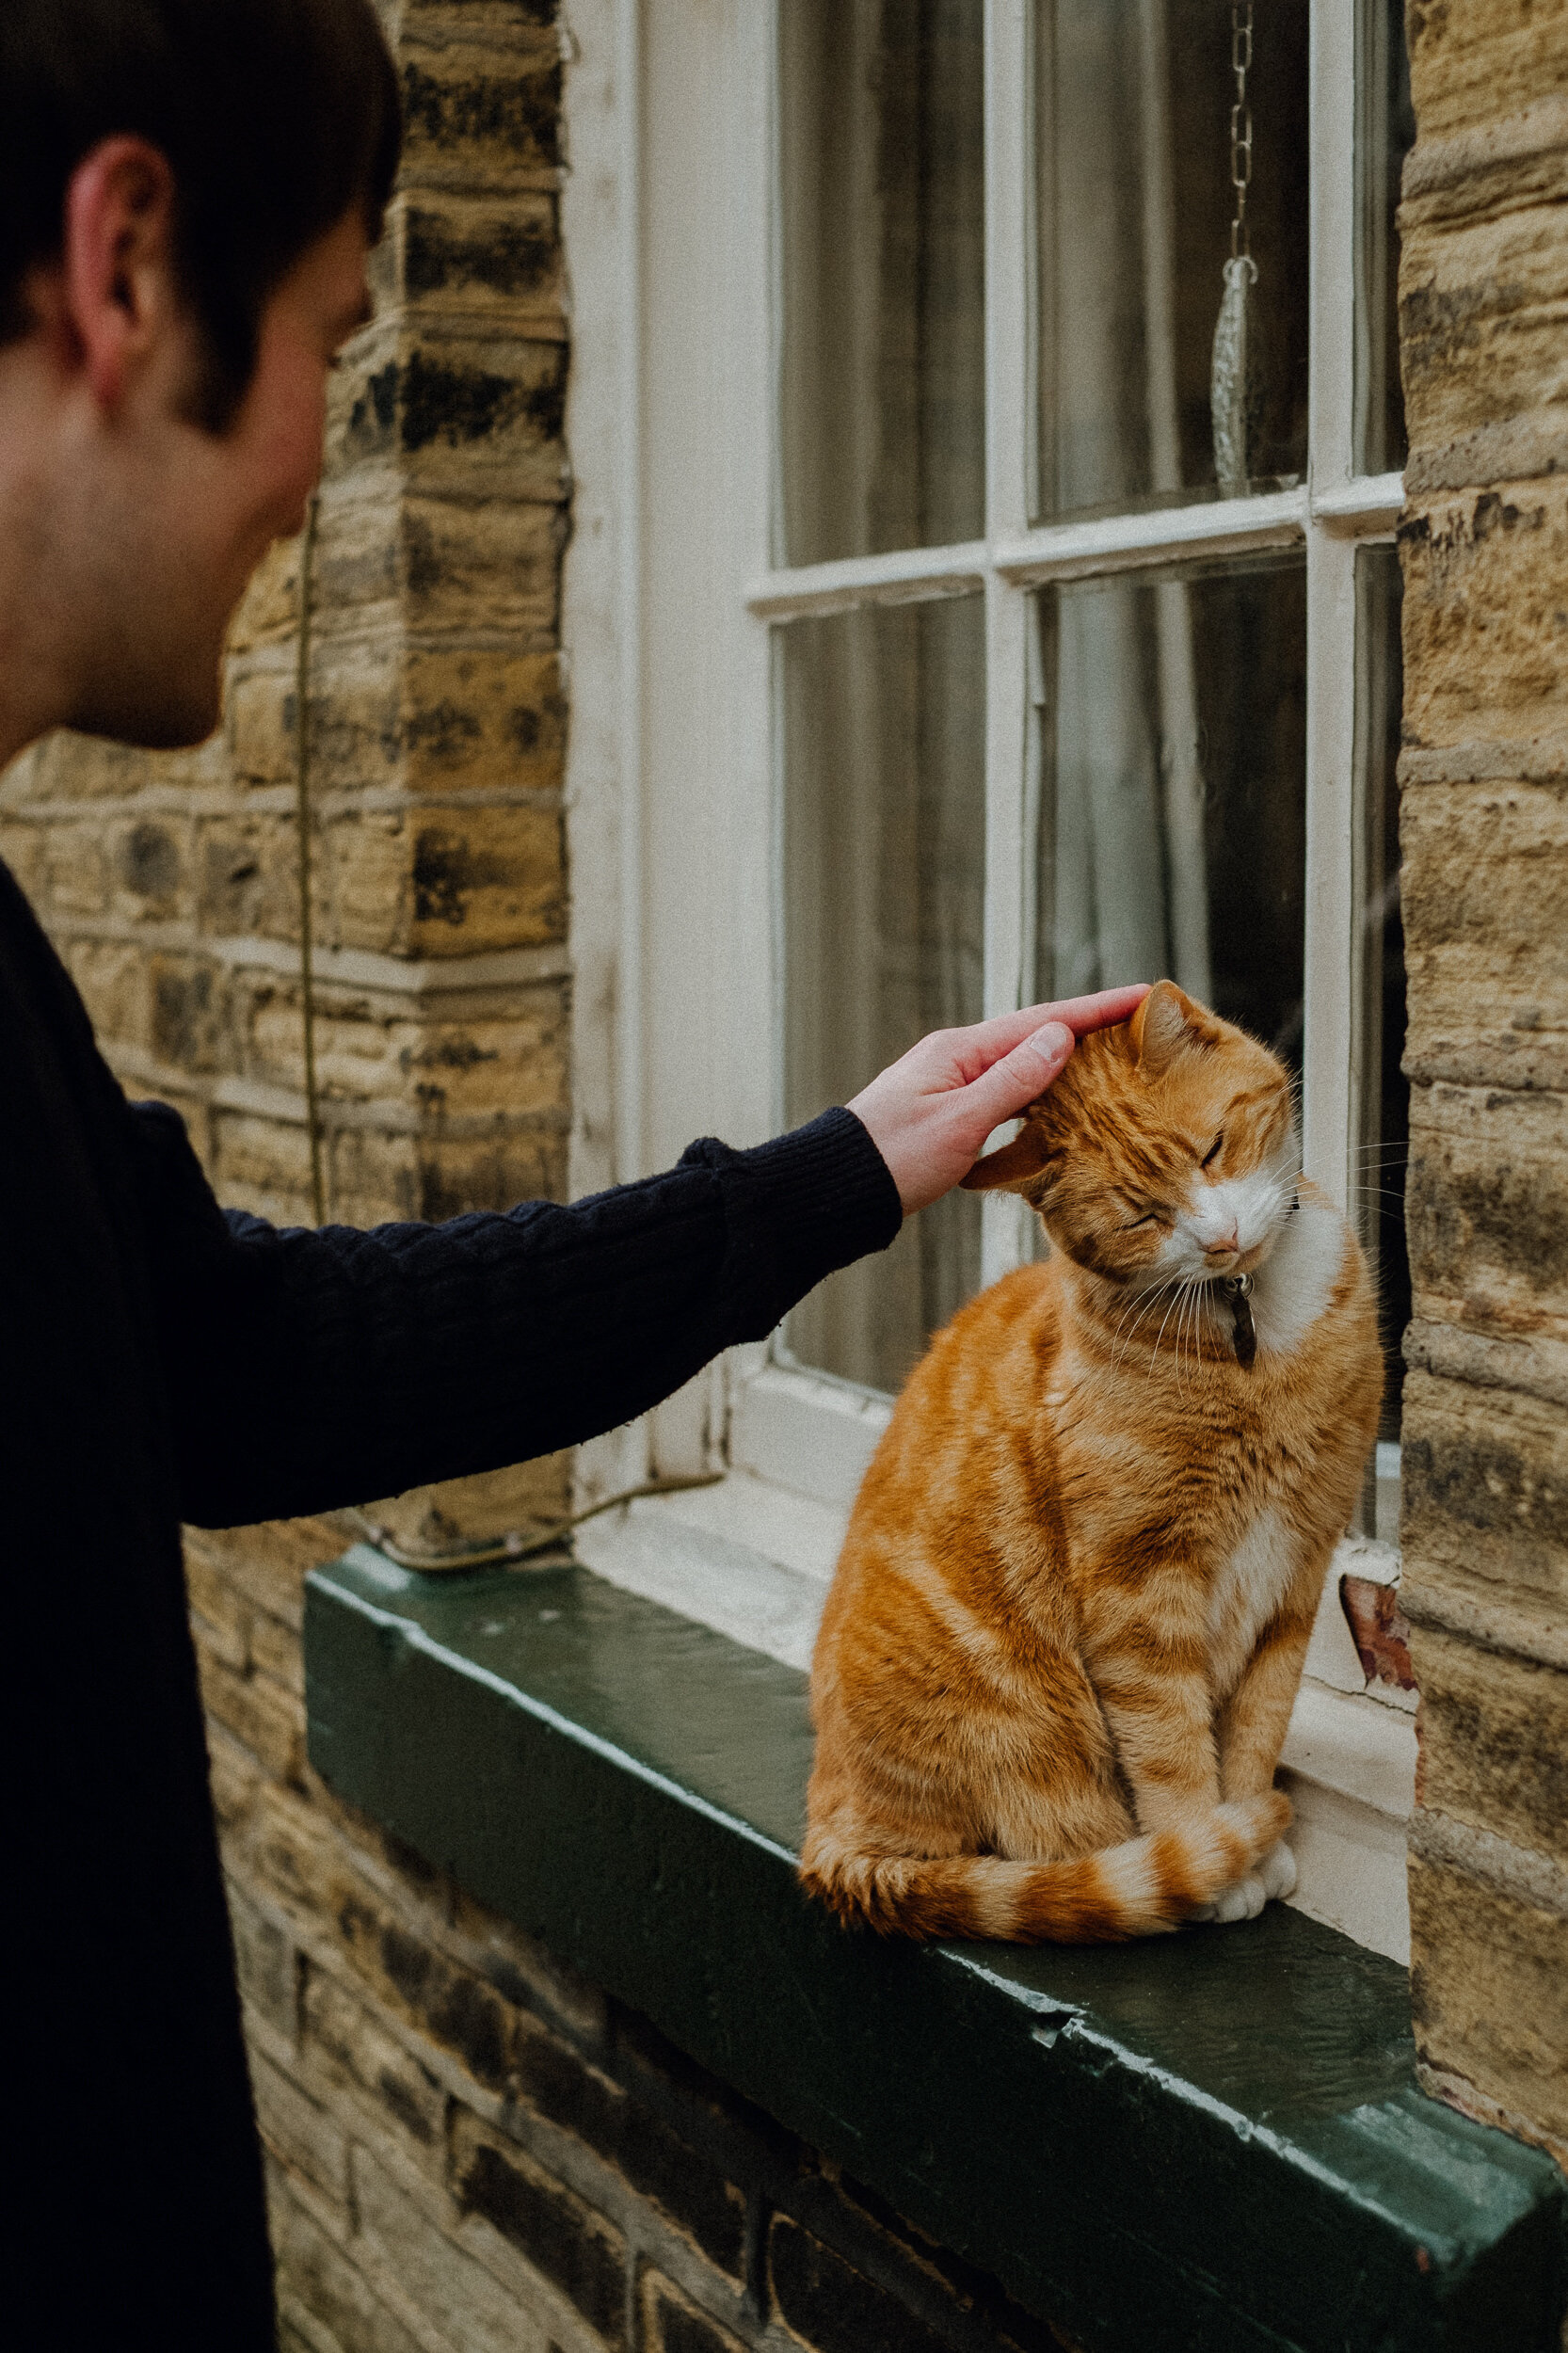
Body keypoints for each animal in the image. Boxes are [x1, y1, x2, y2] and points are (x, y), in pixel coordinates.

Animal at [800, 984, 1374, 1939]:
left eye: (1213, 1149)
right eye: (1142, 1216)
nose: (1221, 1242)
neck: (1253, 1338)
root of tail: (830, 1839)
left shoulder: (1296, 1571)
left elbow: (1256, 1730)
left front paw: (1251, 1837)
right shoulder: (1138, 1589)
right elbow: (1173, 1748)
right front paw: (1215, 1857)